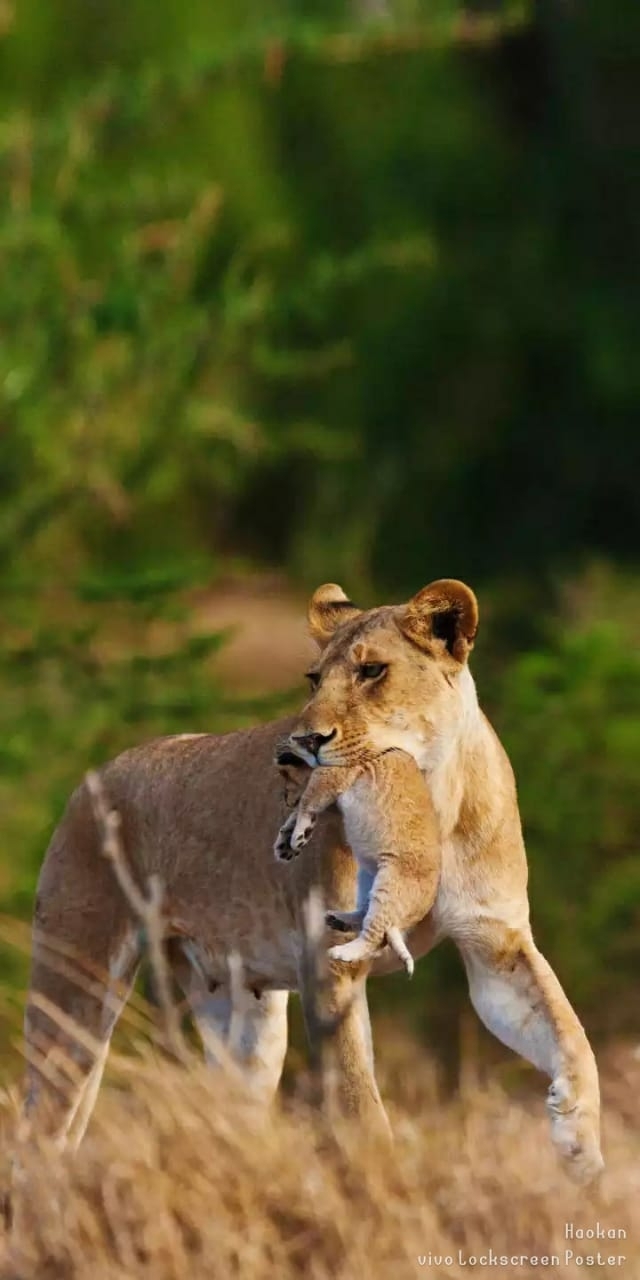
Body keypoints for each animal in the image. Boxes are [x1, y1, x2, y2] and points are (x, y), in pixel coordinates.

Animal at [274, 747, 441, 976]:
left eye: (286, 776)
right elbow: (304, 810)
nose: (285, 799)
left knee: (375, 936)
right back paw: (338, 920)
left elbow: (308, 800)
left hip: (389, 885)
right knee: (367, 916)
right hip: (366, 874)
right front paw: (286, 842)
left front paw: (297, 834)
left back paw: (342, 952)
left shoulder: (334, 775)